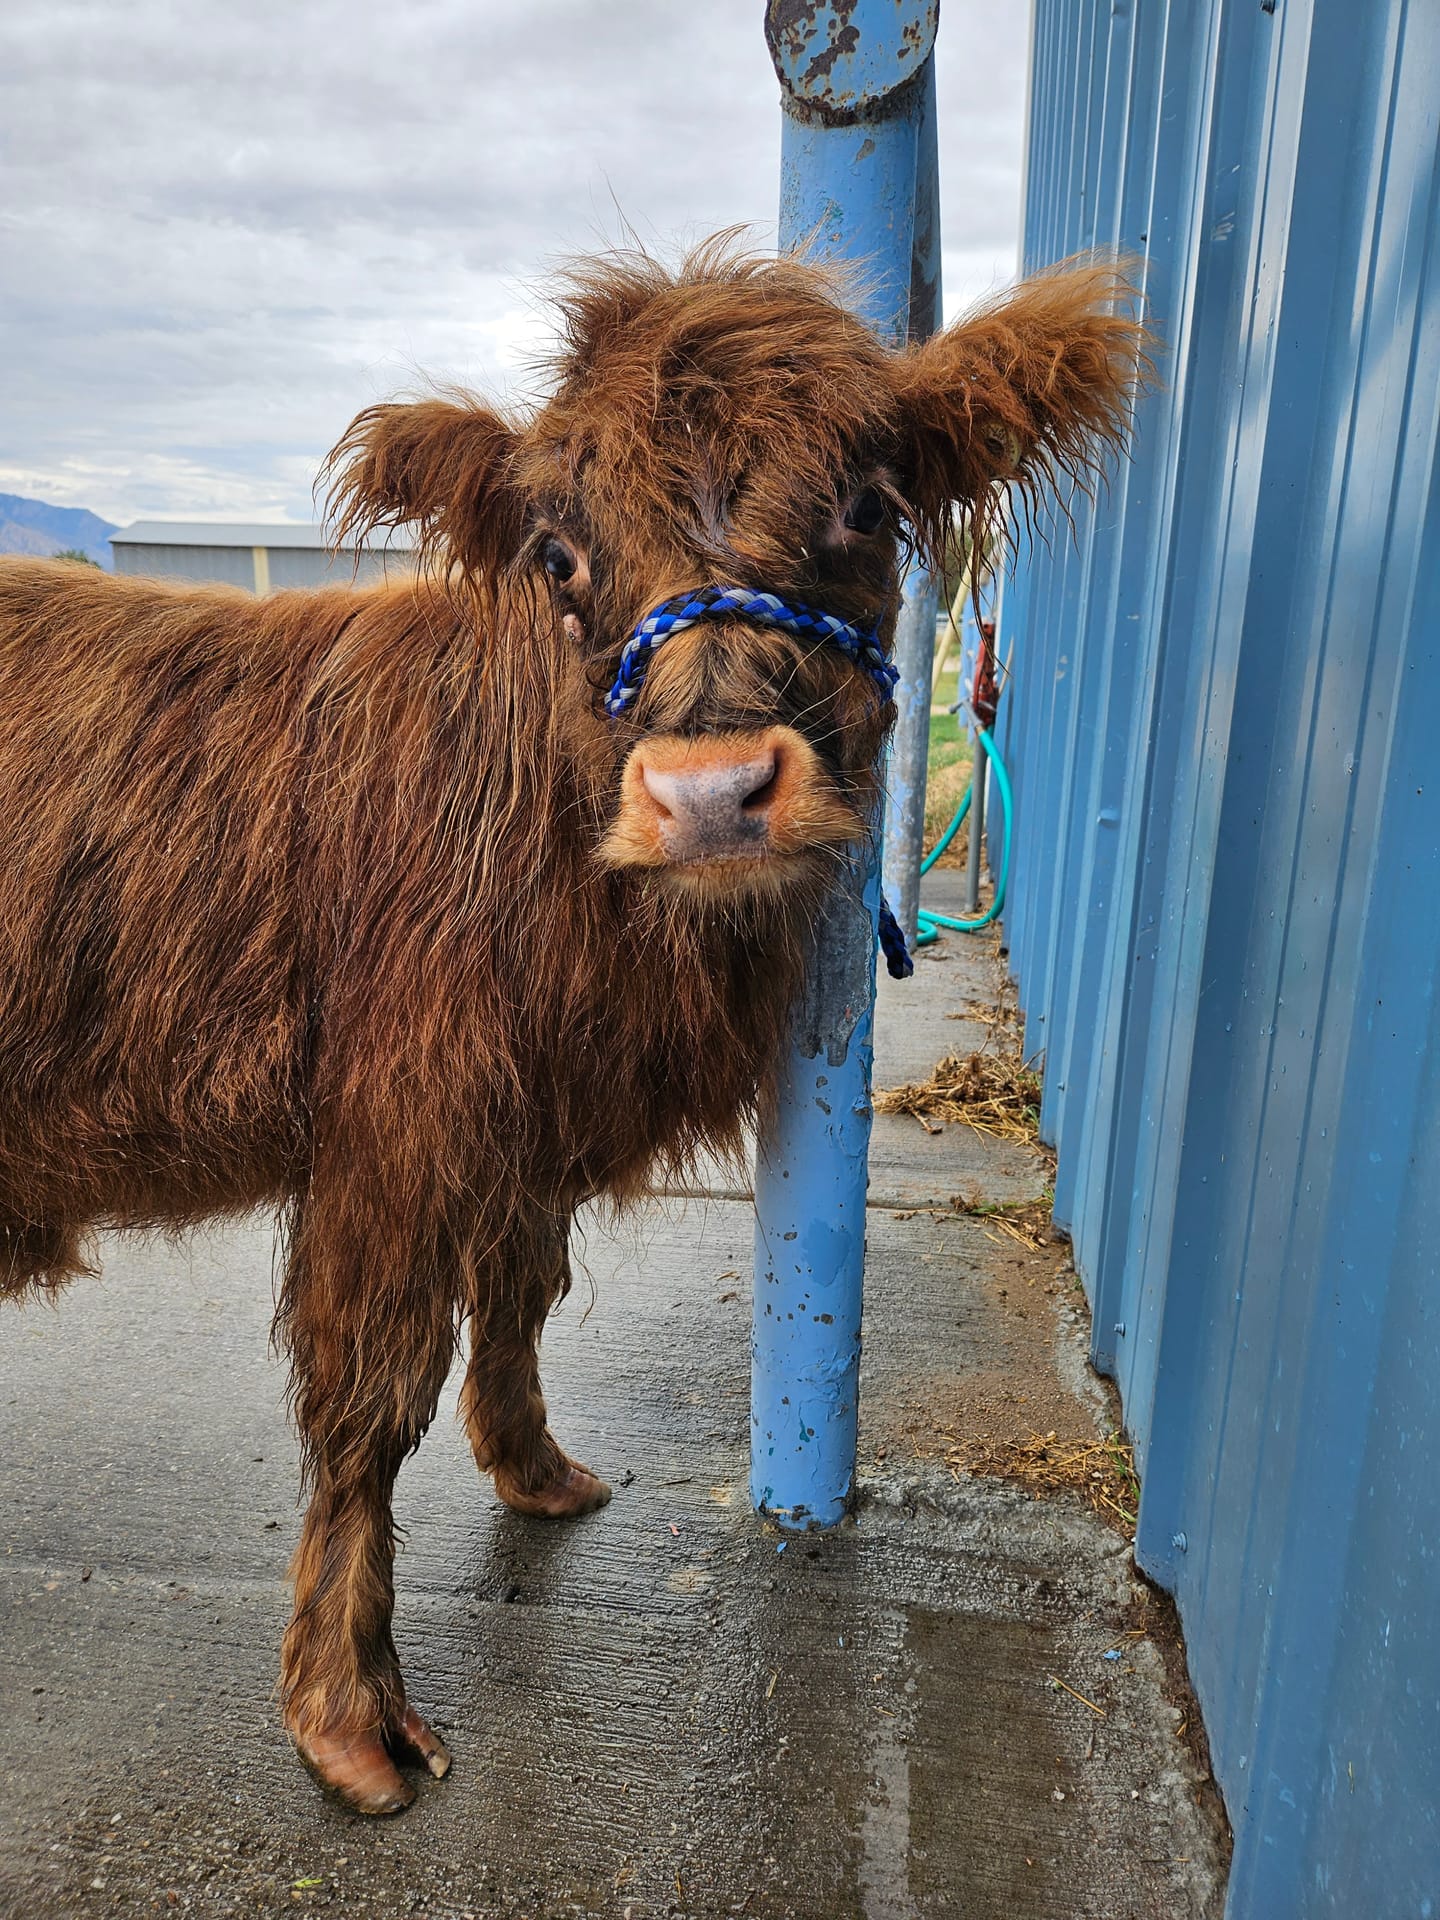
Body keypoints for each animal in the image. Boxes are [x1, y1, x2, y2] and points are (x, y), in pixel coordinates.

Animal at [0, 240, 1141, 1813]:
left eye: (866, 504)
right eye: (559, 553)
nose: (713, 793)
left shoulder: (526, 1116)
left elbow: (524, 1291)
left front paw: (538, 1473)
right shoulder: (397, 1124)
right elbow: (368, 1401)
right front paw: (349, 1717)